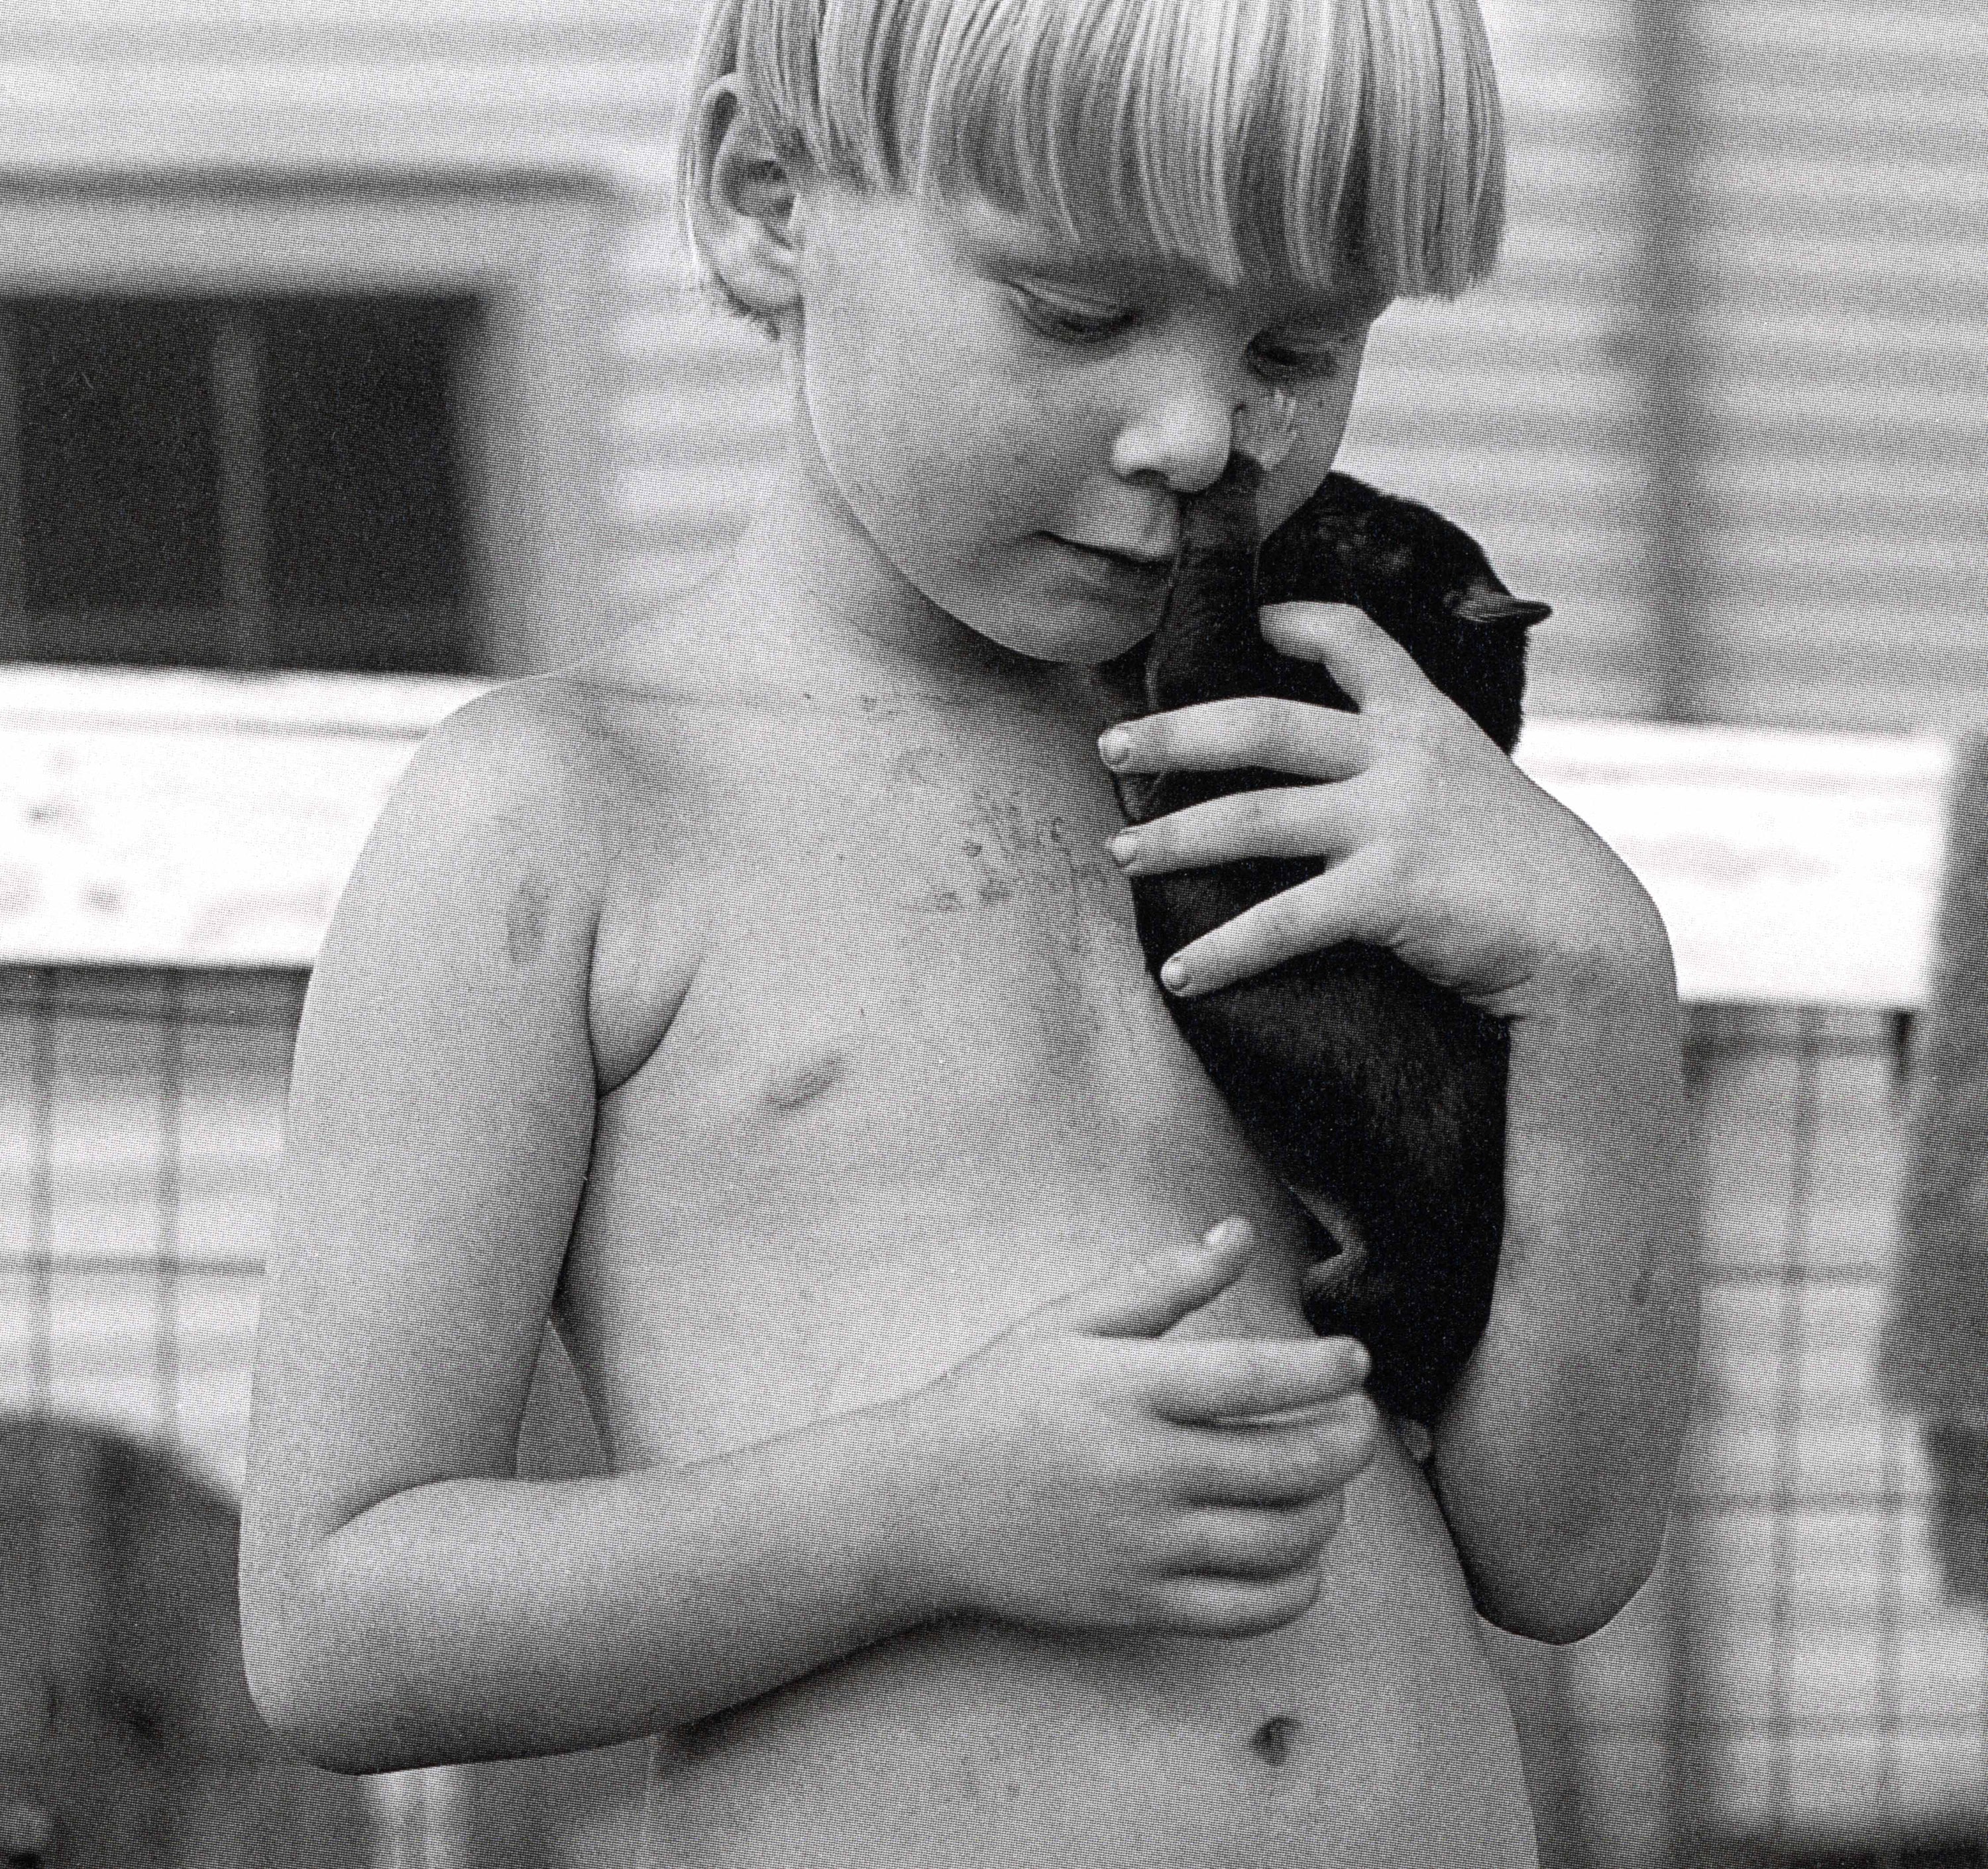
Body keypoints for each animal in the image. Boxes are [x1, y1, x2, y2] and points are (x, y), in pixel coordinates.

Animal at [1105, 463, 1551, 1415]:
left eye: (1363, 529)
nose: (1321, 482)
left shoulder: (1217, 690)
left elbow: (1207, 597)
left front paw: (1230, 491)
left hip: (1354, 1293)